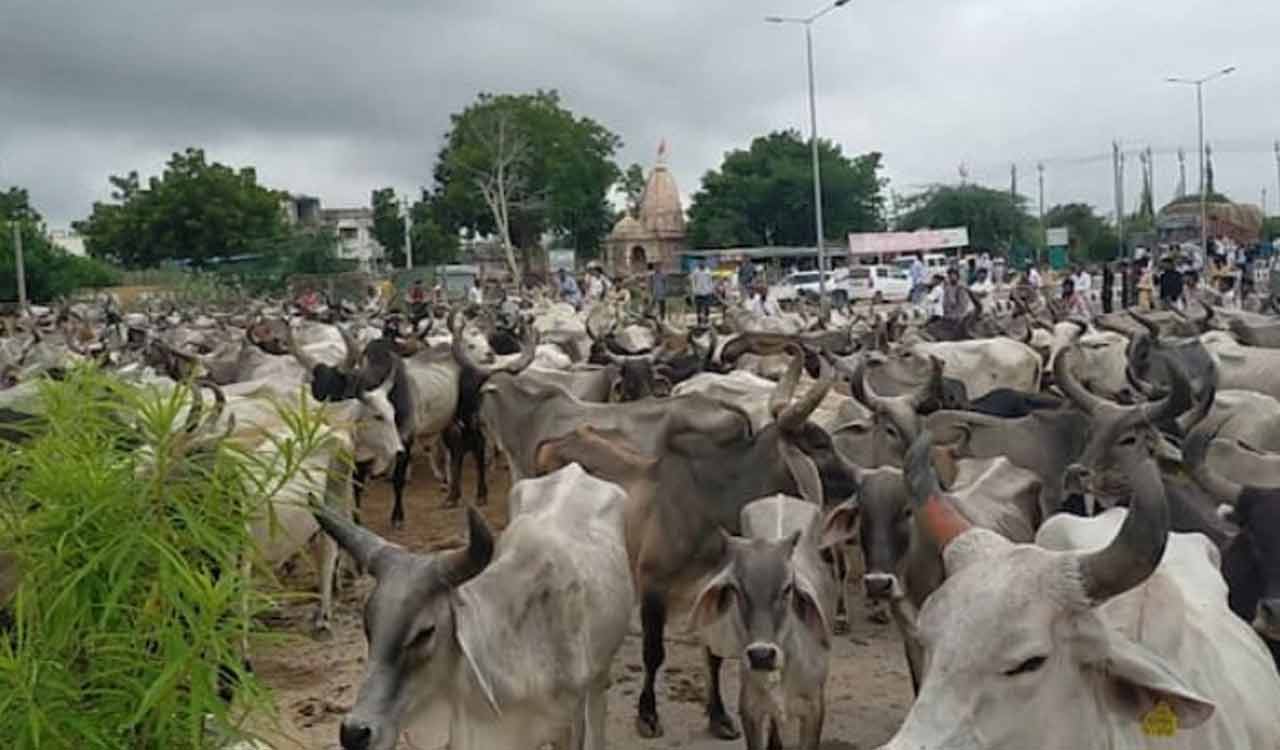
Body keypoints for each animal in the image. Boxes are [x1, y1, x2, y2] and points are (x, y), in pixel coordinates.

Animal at [313, 463, 634, 750]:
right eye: (368, 625)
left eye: (425, 632)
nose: (354, 733)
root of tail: (575, 469)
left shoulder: (565, 725)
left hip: (600, 672)